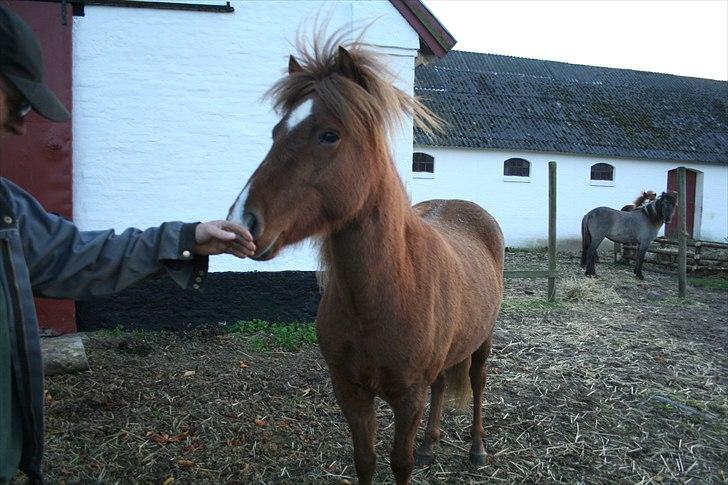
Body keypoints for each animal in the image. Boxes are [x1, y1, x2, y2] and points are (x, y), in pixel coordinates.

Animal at [230, 35, 504, 484]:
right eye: (276, 132)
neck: (381, 294)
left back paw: (477, 449)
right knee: (442, 385)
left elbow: (400, 463)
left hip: (483, 340)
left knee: (478, 382)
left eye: (329, 135)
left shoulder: (407, 397)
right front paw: (417, 449)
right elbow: (366, 460)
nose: (242, 223)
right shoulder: (351, 392)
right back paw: (431, 444)